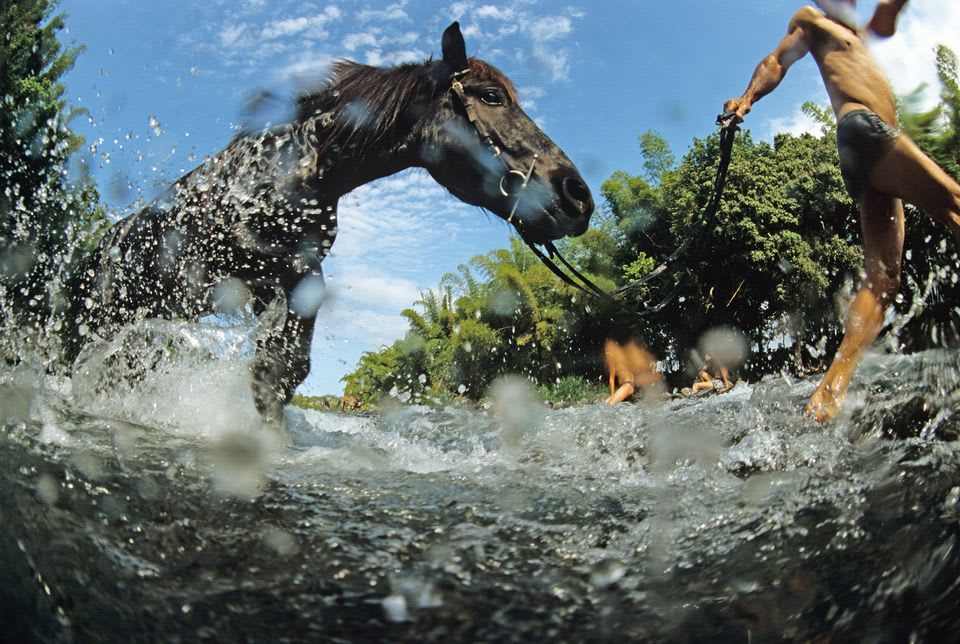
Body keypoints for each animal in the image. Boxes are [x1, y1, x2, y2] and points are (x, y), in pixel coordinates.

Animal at [61, 22, 594, 422]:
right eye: (490, 96)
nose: (578, 196)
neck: (295, 164)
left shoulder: (290, 275)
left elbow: (289, 358)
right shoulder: (253, 267)